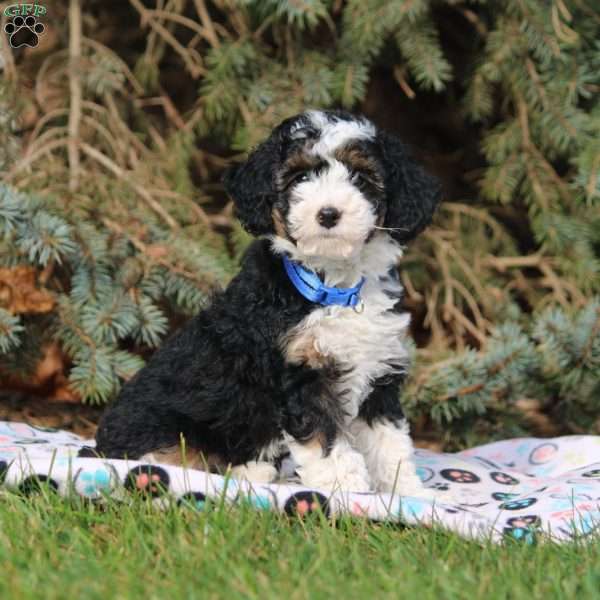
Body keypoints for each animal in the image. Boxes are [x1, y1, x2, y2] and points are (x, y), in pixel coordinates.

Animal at [94, 110, 440, 494]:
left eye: (361, 178)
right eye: (300, 177)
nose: (328, 214)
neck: (333, 287)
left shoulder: (379, 372)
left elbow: (387, 439)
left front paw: (404, 490)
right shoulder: (302, 372)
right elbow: (325, 437)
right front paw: (346, 488)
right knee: (166, 456)